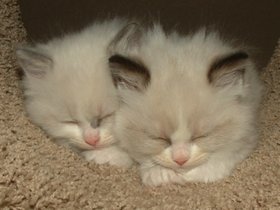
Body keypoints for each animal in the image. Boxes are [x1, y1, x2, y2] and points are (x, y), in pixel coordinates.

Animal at [108, 23, 264, 186]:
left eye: (201, 136)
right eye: (159, 138)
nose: (180, 159)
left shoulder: (247, 137)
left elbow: (217, 161)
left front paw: (188, 176)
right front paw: (160, 174)